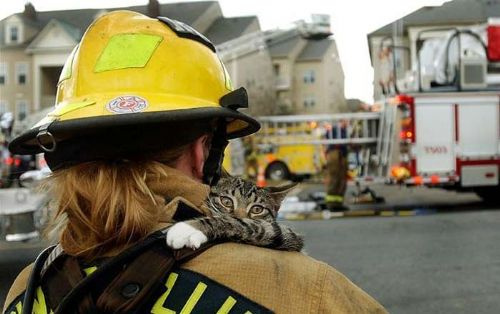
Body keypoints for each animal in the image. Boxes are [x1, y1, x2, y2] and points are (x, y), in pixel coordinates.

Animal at [166, 175, 302, 251]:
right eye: (226, 201)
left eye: (257, 210)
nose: (239, 216)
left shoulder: (289, 235)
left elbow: (245, 224)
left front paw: (189, 228)